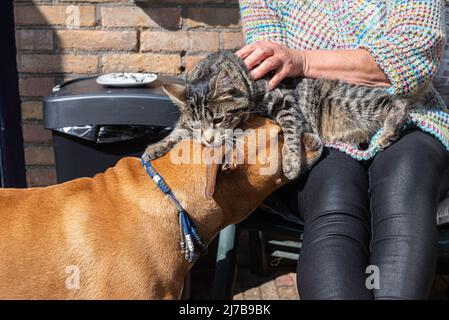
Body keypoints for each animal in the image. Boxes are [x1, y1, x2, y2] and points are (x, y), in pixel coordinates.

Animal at [144, 51, 412, 179]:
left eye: (218, 120)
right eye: (197, 126)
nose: (208, 140)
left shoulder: (285, 99)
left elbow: (291, 132)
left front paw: (291, 161)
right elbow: (177, 130)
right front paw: (156, 147)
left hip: (350, 101)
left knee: (397, 102)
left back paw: (388, 132)